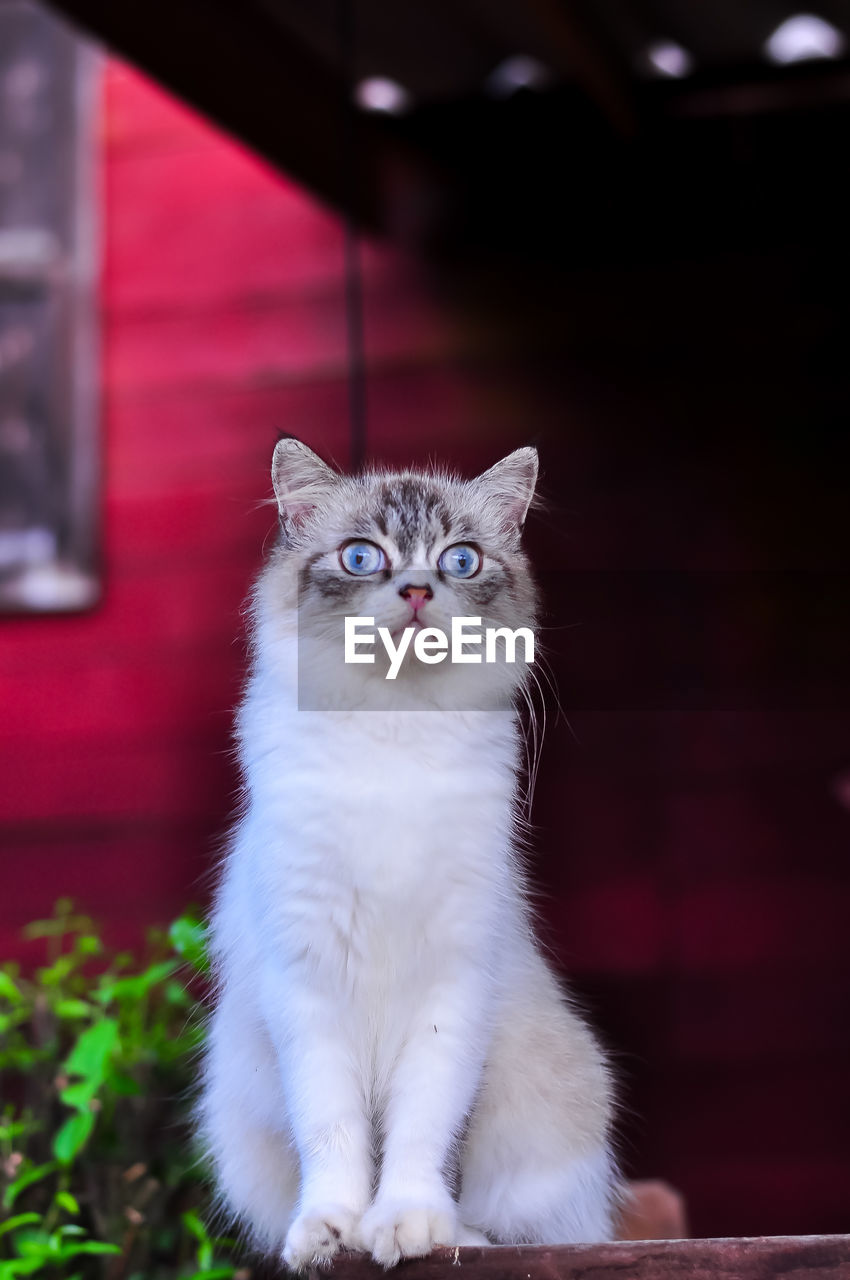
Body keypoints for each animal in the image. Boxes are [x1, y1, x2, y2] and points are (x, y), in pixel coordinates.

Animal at [200, 440, 624, 1269]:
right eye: (363, 557)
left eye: (460, 560)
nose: (420, 590)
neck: (393, 730)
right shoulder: (308, 984)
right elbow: (333, 1136)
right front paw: (332, 1232)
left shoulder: (453, 989)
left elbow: (422, 1136)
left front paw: (407, 1228)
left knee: (519, 1224)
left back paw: (466, 1238)